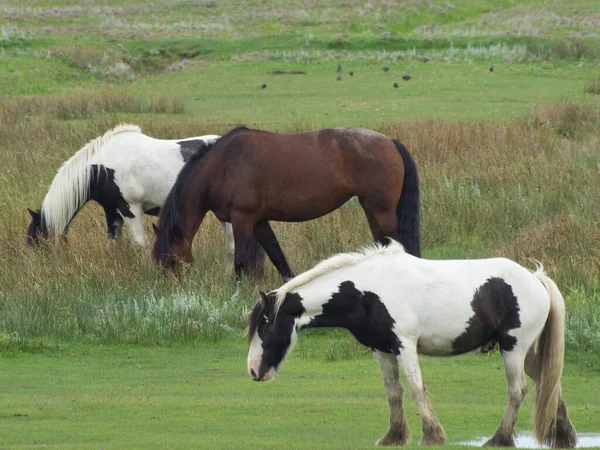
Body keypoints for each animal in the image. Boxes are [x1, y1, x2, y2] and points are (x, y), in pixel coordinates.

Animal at [25, 122, 264, 270]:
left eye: (37, 241)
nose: (35, 270)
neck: (101, 167)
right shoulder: (113, 212)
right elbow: (114, 244)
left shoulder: (130, 208)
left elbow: (139, 244)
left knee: (232, 245)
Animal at [152, 126, 420, 280]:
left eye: (172, 261)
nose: (172, 290)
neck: (223, 164)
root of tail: (390, 141)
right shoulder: (259, 221)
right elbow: (277, 256)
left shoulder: (242, 219)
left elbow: (240, 260)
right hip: (370, 208)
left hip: (382, 210)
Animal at [247, 241, 576, 448]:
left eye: (264, 325)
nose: (253, 371)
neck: (366, 290)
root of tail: (535, 278)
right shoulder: (382, 350)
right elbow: (394, 393)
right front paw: (393, 436)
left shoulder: (404, 345)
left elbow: (417, 389)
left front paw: (432, 435)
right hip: (528, 352)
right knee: (548, 382)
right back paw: (563, 437)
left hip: (513, 348)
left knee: (517, 390)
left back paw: (500, 439)